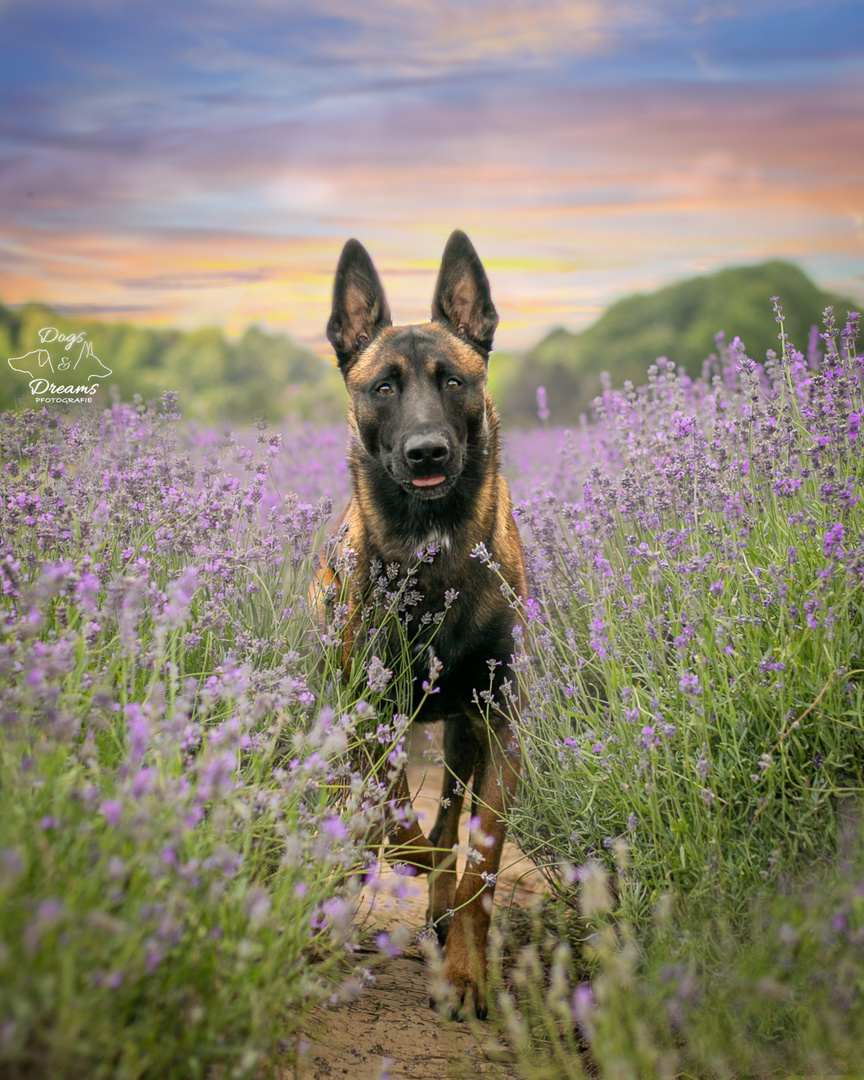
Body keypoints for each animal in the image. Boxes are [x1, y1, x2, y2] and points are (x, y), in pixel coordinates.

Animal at [313, 230, 522, 1019]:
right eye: (384, 387)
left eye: (454, 381)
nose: (427, 450)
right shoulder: (370, 712)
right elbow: (402, 828)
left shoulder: (500, 719)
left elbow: (479, 858)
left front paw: (464, 968)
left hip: (463, 734)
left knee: (452, 814)